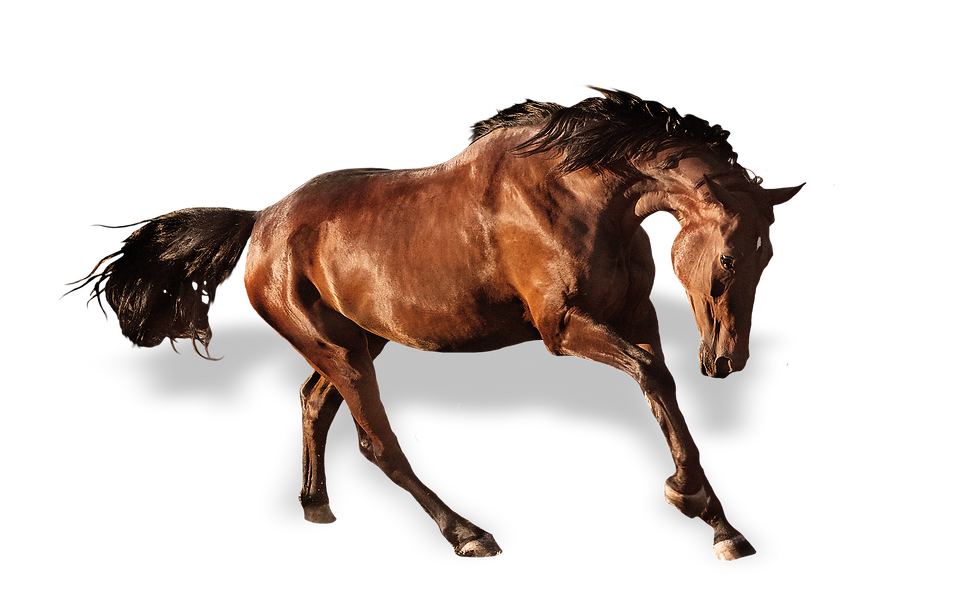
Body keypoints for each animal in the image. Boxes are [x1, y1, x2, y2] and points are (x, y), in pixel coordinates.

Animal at [54, 79, 806, 561]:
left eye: (771, 256)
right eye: (731, 257)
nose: (728, 360)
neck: (580, 193)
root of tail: (260, 222)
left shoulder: (637, 313)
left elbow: (665, 391)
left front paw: (720, 524)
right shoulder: (563, 329)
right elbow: (651, 375)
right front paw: (692, 500)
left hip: (358, 343)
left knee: (313, 405)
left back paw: (317, 505)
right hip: (340, 350)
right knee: (378, 443)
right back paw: (469, 534)